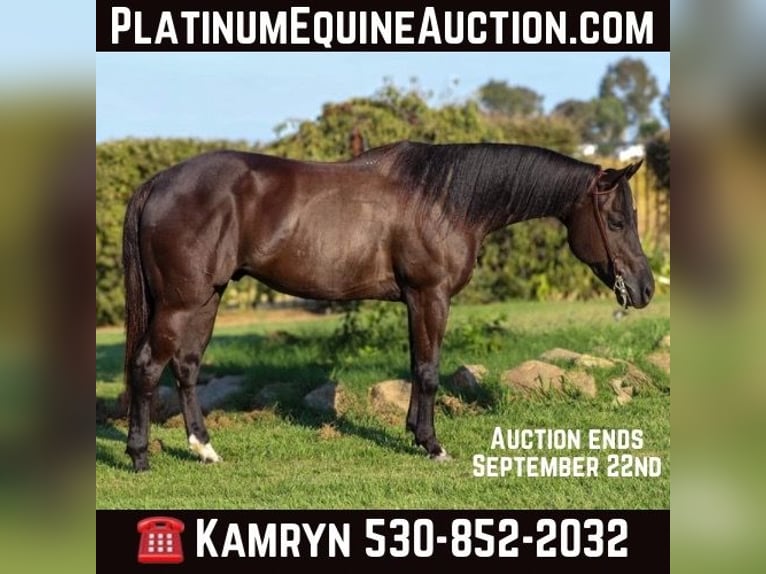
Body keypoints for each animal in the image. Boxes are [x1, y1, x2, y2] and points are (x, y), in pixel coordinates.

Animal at [122, 141, 654, 471]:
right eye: (616, 220)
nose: (645, 288)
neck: (445, 200)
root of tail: (158, 183)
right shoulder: (430, 295)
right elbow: (430, 371)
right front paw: (433, 445)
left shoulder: (414, 300)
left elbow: (417, 365)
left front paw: (414, 432)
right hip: (181, 303)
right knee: (147, 366)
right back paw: (140, 455)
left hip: (205, 299)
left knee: (187, 368)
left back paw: (205, 450)